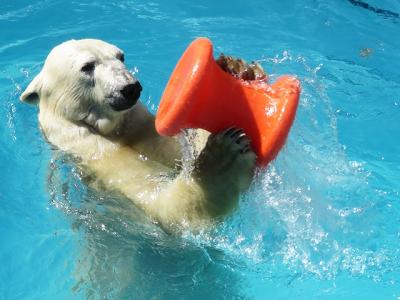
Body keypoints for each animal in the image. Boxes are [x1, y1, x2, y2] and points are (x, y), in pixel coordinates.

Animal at [20, 38, 255, 229]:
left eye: (120, 56)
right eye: (87, 66)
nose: (130, 88)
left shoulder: (136, 124)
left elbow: (173, 150)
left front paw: (236, 69)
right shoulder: (92, 150)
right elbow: (159, 204)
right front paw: (224, 157)